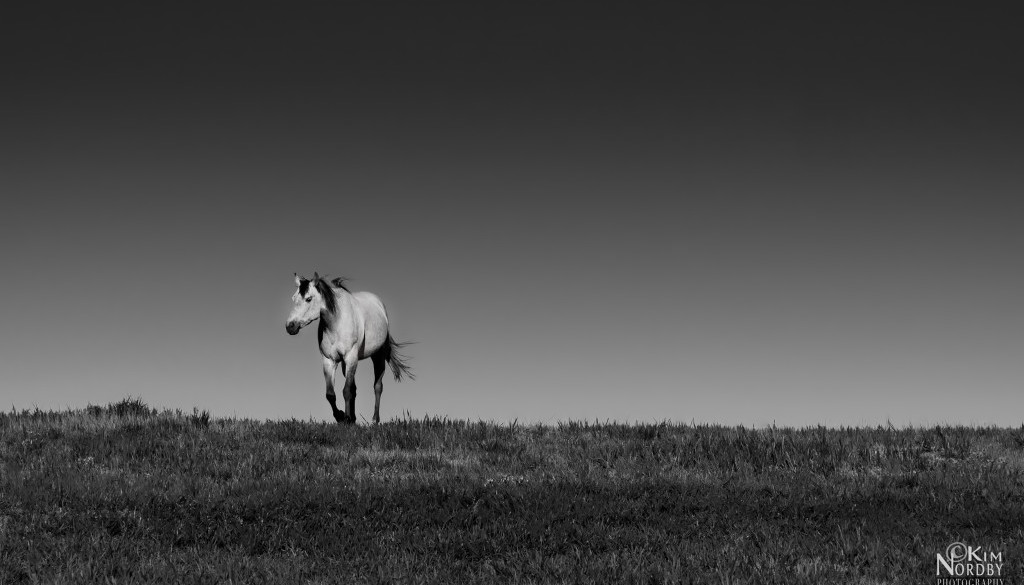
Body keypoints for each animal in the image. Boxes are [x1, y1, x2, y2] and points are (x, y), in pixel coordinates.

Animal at [284, 272, 411, 424]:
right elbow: (331, 394)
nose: (290, 326)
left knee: (377, 387)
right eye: (293, 298)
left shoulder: (350, 357)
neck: (336, 322)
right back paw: (354, 419)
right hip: (346, 364)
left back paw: (374, 419)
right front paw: (341, 416)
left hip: (377, 356)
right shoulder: (329, 361)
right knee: (354, 389)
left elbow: (346, 391)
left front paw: (345, 418)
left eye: (308, 299)